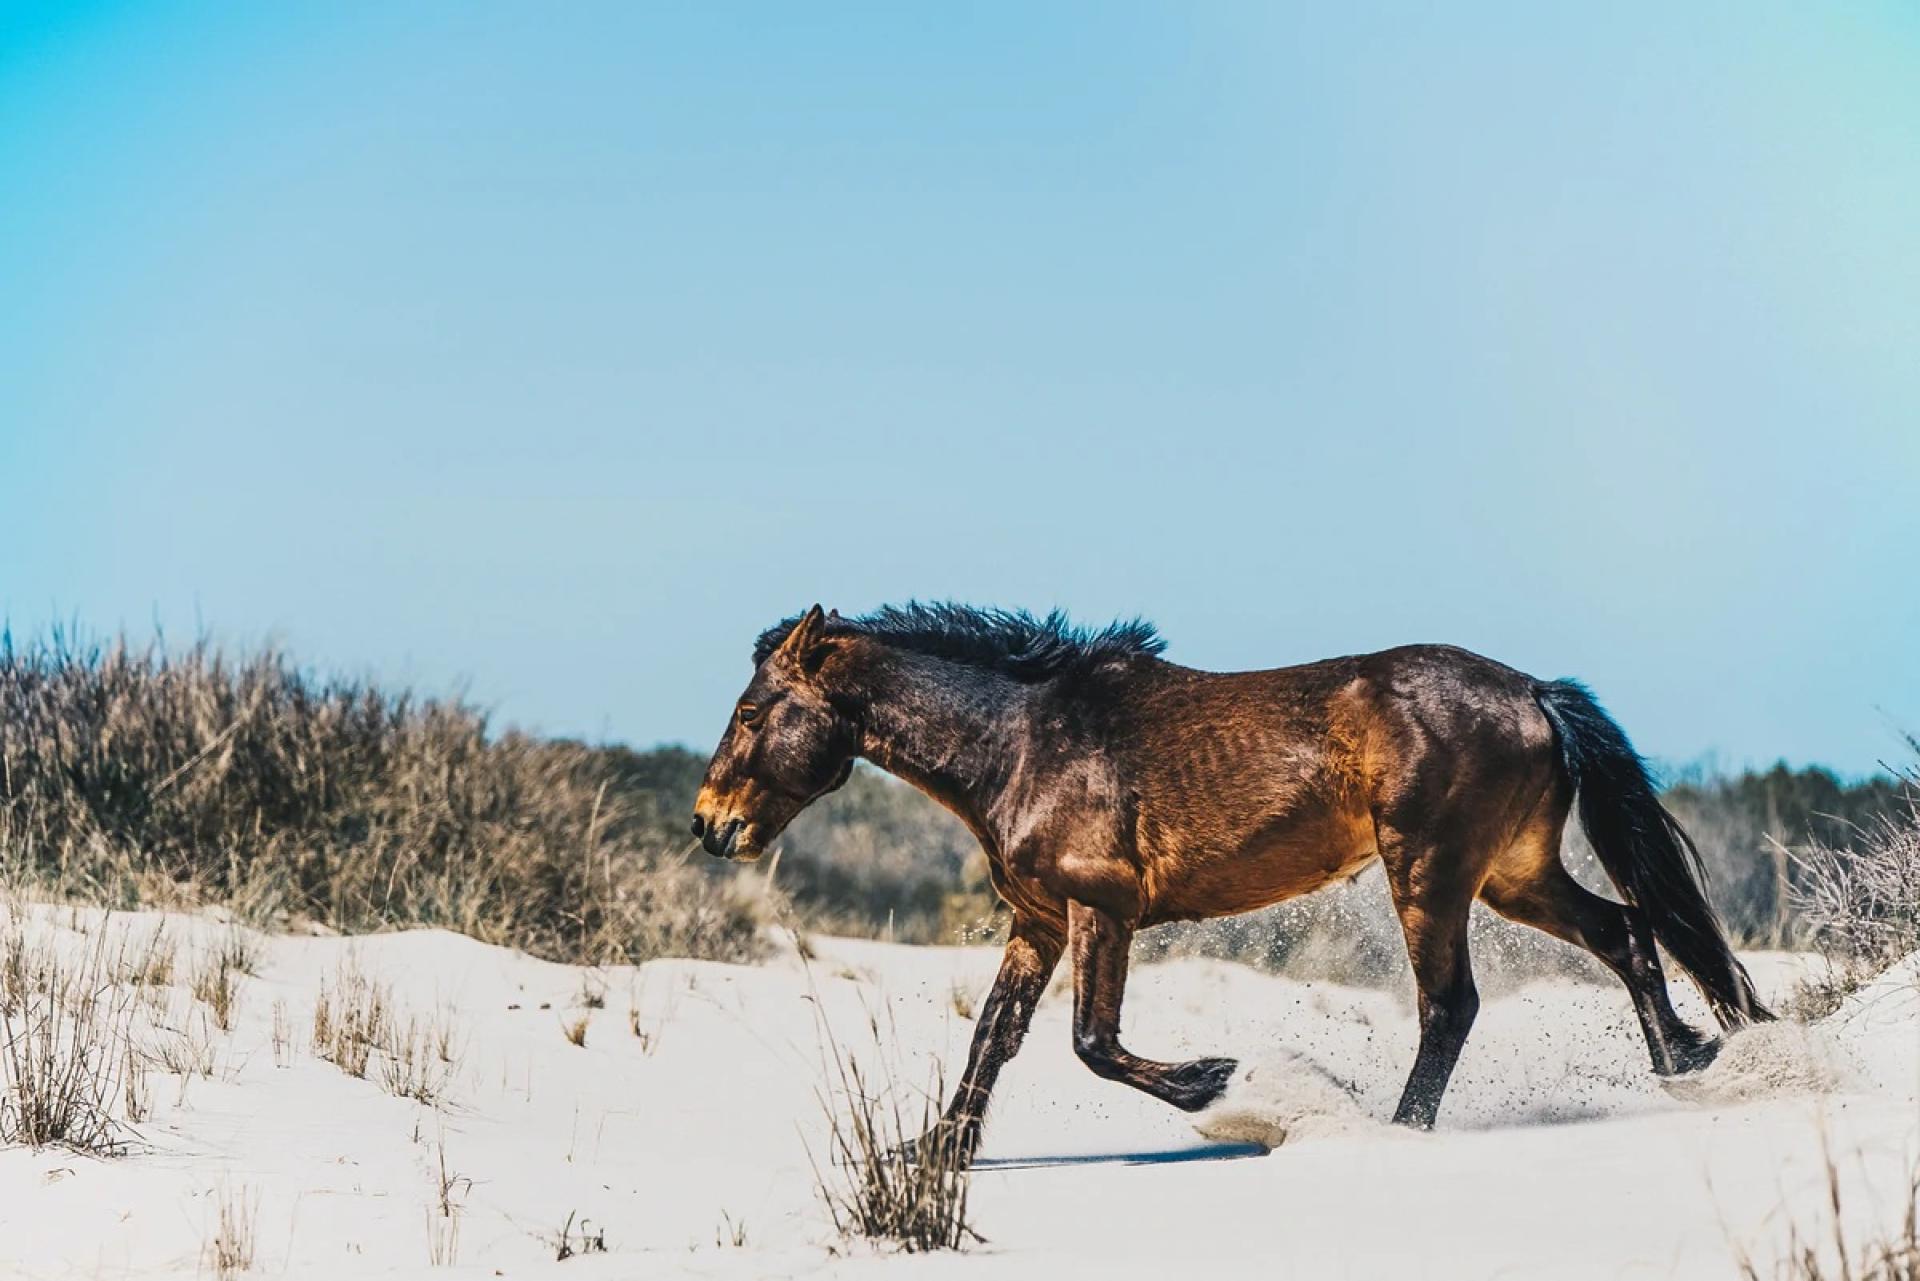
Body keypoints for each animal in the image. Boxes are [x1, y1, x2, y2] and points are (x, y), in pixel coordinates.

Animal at [695, 606, 1766, 1160]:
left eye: (750, 712)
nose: (712, 824)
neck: (1023, 742)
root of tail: (1535, 692)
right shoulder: (1037, 922)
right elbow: (995, 1036)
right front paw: (934, 1152)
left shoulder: (1101, 909)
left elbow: (1092, 1043)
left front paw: (1223, 1083)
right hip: (1512, 875)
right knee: (1627, 931)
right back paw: (1686, 1062)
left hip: (1430, 875)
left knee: (1450, 1003)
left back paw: (1393, 1131)